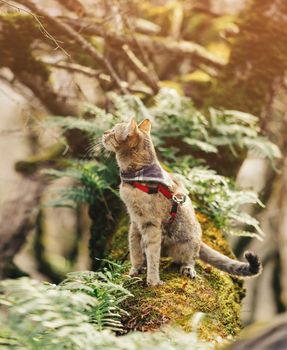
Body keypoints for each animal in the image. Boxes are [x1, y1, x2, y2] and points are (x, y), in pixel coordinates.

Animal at [102, 119, 262, 286]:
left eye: (113, 131)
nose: (104, 132)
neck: (136, 176)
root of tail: (200, 240)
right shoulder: (135, 221)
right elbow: (135, 249)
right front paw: (136, 269)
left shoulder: (150, 224)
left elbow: (152, 254)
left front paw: (153, 281)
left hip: (187, 245)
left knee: (191, 259)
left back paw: (187, 269)